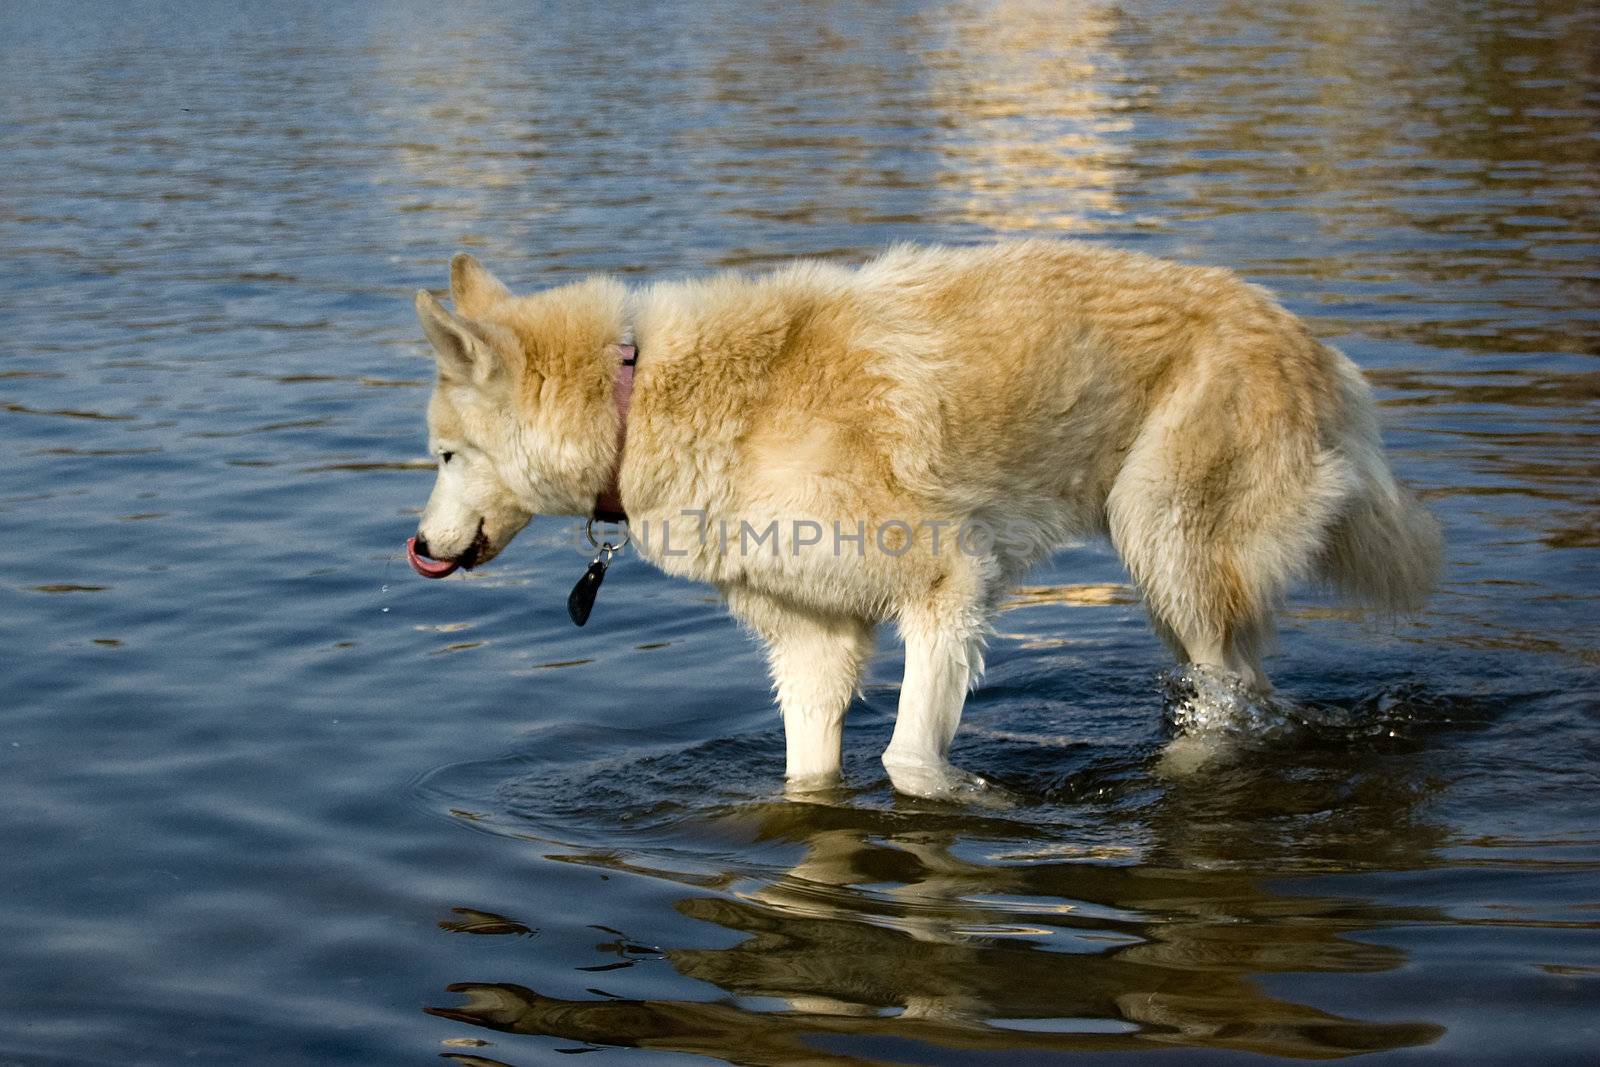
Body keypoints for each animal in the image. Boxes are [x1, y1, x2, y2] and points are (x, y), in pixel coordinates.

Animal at [406, 239, 1446, 793]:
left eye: (446, 457)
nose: (418, 546)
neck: (644, 400)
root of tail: (1318, 349)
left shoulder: (949, 588)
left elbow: (906, 756)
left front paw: (970, 796)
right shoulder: (815, 646)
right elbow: (810, 773)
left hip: (1166, 552)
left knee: (1232, 707)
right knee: (1252, 690)